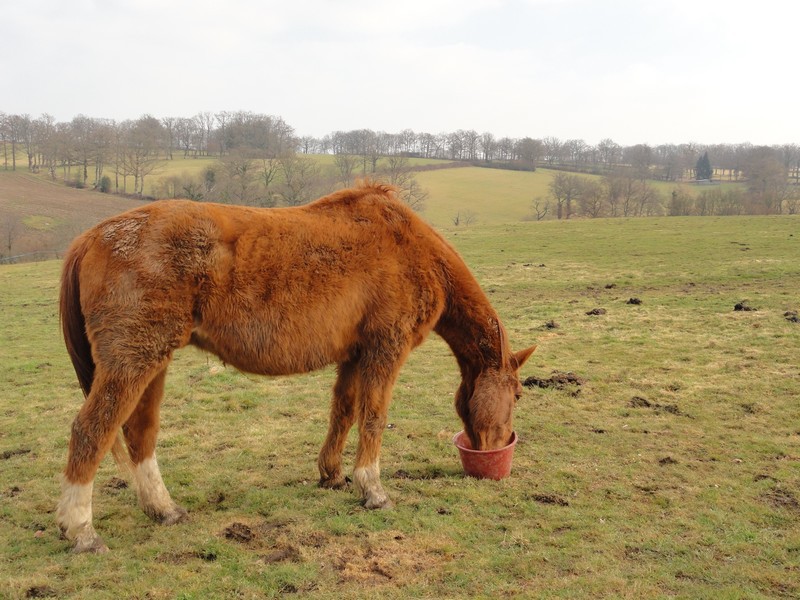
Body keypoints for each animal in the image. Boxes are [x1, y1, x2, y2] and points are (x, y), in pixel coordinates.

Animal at [57, 182, 536, 552]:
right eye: (517, 393)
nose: (498, 451)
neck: (408, 246)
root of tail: (91, 237)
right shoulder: (385, 350)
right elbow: (373, 417)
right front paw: (373, 490)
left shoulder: (354, 355)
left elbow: (343, 412)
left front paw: (333, 474)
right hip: (132, 362)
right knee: (91, 431)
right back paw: (82, 531)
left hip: (153, 363)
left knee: (139, 434)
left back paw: (164, 510)